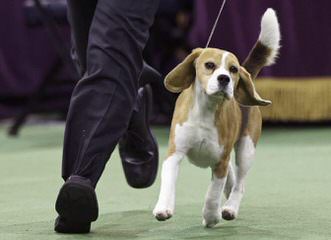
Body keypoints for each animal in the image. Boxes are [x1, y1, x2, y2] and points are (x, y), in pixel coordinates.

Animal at [153, 8, 280, 227]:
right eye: (210, 65)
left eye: (233, 69)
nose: (224, 79)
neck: (206, 110)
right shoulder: (174, 153)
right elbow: (168, 181)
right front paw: (163, 208)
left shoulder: (220, 161)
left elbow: (212, 194)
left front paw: (211, 216)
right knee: (232, 179)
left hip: (246, 148)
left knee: (239, 184)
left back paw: (230, 208)